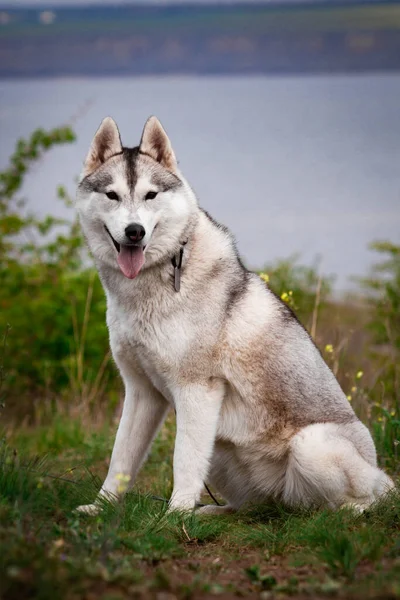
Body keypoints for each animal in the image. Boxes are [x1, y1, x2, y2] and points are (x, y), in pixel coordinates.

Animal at [75, 117, 394, 516]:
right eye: (112, 196)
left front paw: (174, 515)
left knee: (359, 499)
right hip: (224, 456)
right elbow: (121, 458)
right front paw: (100, 507)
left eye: (150, 195)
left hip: (312, 445)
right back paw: (216, 511)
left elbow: (183, 461)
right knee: (257, 505)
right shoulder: (141, 392)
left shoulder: (197, 389)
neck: (159, 277)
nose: (135, 232)